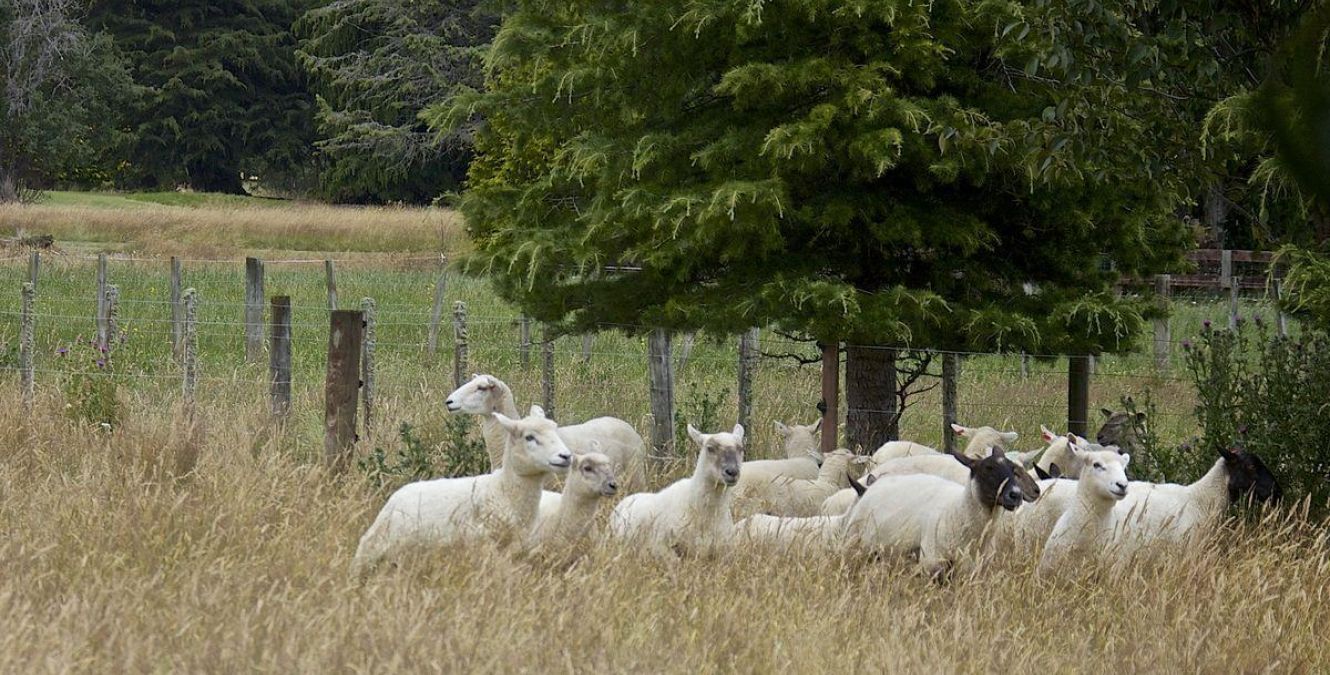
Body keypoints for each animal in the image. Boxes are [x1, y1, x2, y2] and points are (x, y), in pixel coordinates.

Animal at [351, 406, 572, 576]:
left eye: (555, 430)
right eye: (529, 437)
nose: (566, 456)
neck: (502, 491)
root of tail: (394, 499)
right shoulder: (484, 551)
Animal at [843, 447, 1030, 579]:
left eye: (1013, 469)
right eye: (987, 469)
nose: (1016, 495)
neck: (958, 510)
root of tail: (871, 488)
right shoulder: (933, 566)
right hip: (857, 549)